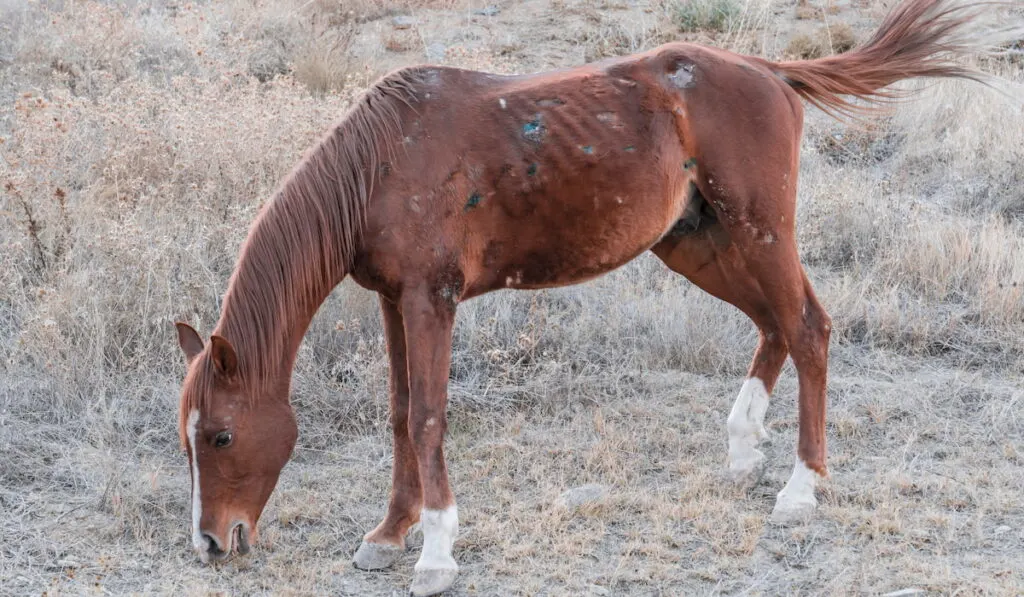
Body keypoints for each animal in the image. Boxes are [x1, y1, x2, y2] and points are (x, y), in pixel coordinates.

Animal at [174, 2, 999, 593]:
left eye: (220, 435)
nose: (213, 542)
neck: (380, 162)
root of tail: (768, 70)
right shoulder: (393, 301)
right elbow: (401, 413)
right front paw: (388, 533)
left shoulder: (431, 299)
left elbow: (429, 415)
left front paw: (435, 552)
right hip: (697, 244)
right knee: (774, 325)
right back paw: (743, 445)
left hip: (758, 231)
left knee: (809, 327)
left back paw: (801, 487)